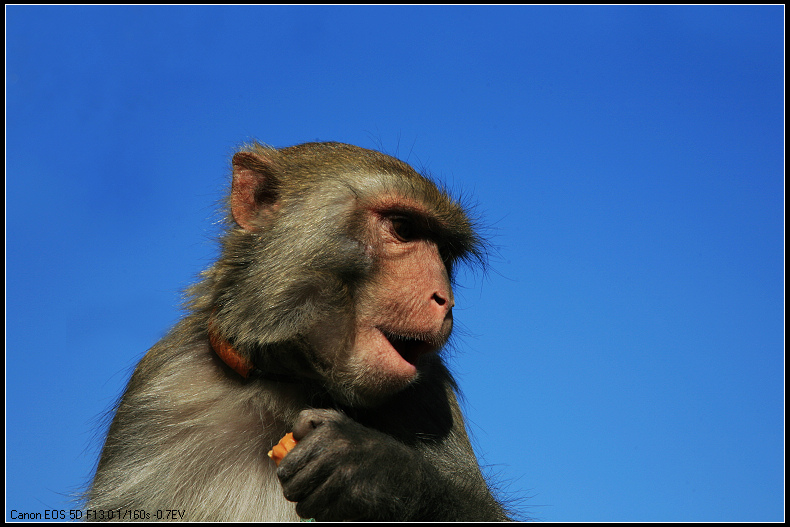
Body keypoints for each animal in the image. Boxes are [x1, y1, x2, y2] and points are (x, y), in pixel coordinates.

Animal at [83, 142, 510, 520]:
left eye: (445, 252)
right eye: (404, 229)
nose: (445, 301)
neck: (289, 384)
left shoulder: (430, 395)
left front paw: (371, 469)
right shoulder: (158, 394)